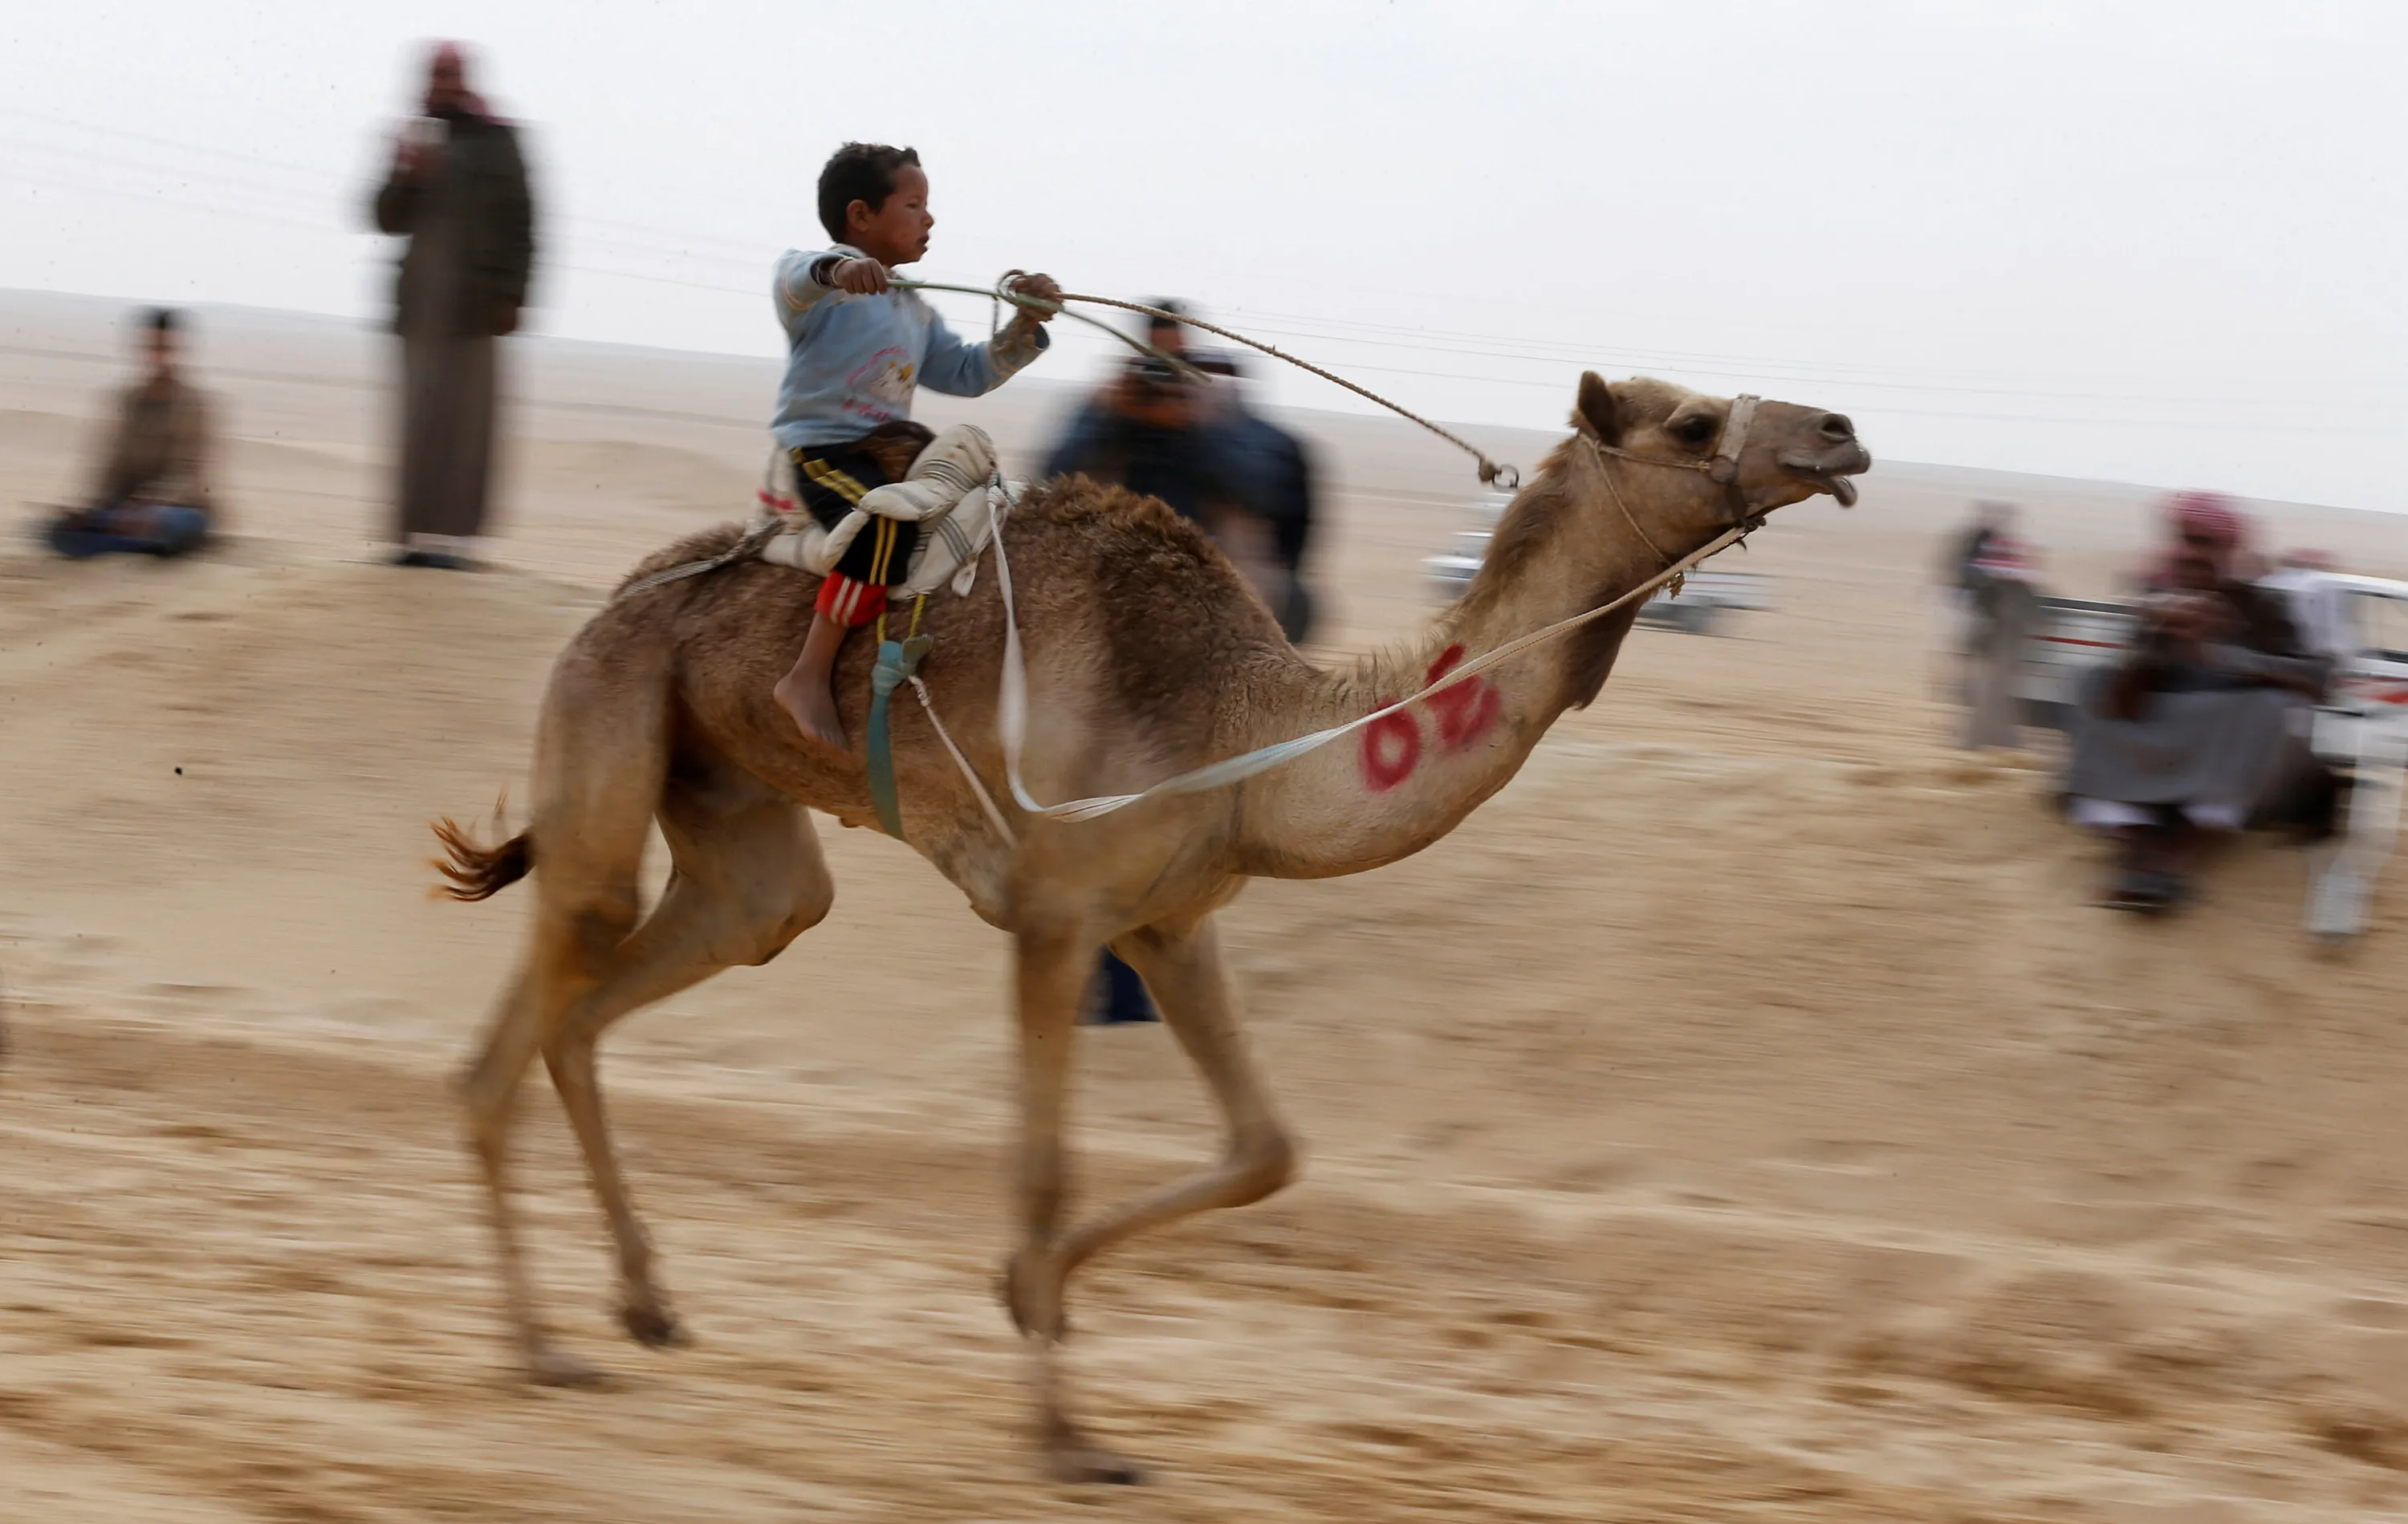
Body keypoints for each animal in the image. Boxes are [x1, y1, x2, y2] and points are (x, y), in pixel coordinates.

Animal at [433, 376, 1869, 1483]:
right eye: (1692, 420)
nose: (1842, 432)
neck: (1245, 728)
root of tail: (613, 597)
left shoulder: (1172, 920)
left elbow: (1265, 1149)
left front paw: (1030, 1290)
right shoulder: (1054, 912)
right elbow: (1044, 1166)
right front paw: (1066, 1435)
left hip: (738, 828)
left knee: (641, 979)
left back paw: (644, 1304)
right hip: (611, 709)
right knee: (516, 1025)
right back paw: (540, 1346)